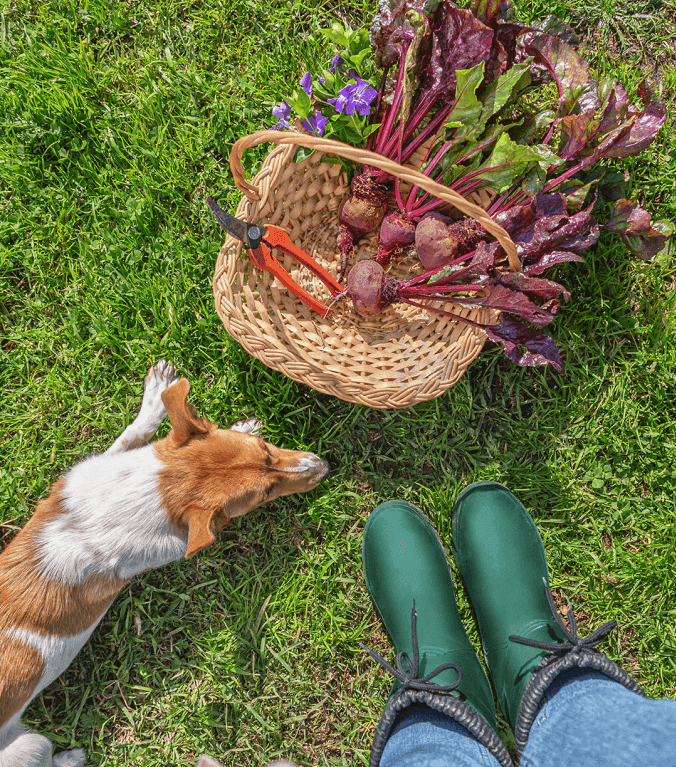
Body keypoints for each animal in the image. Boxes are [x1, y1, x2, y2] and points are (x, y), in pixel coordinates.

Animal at [0, 362, 328, 767]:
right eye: (265, 493)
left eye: (267, 450)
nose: (324, 467)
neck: (151, 494)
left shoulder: (96, 467)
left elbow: (135, 432)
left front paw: (170, 400)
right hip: (33, 744)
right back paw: (71, 757)